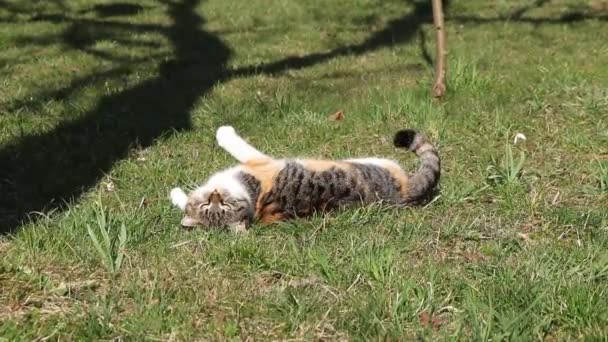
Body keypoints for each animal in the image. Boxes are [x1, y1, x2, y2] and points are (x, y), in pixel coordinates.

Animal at [169, 125, 440, 232]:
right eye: (210, 204)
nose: (215, 194)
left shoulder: (260, 163)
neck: (252, 198)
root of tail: (404, 195)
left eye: (221, 203)